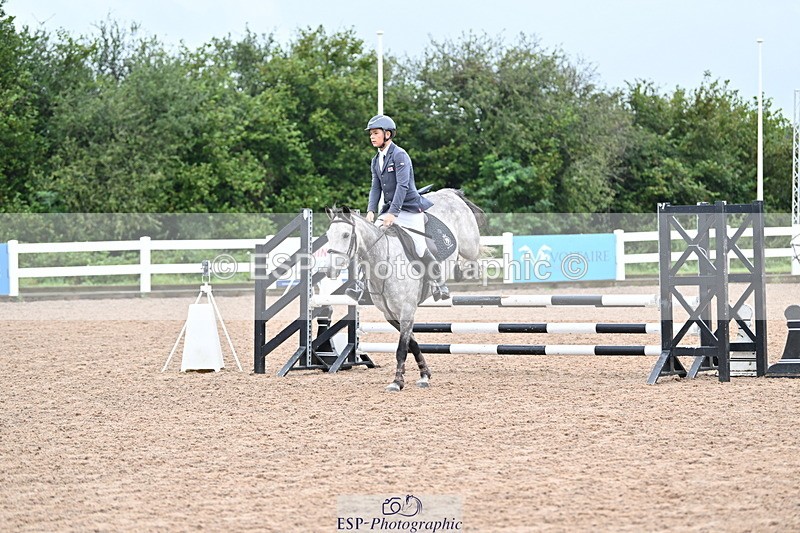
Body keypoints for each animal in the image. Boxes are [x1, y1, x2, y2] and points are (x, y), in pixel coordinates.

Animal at [324, 188, 485, 392]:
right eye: (328, 235)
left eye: (346, 235)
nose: (330, 270)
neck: (384, 262)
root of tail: (449, 192)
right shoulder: (390, 313)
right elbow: (412, 343)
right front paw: (425, 375)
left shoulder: (407, 309)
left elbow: (402, 348)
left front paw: (397, 381)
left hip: (469, 246)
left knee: (474, 256)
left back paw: (462, 273)